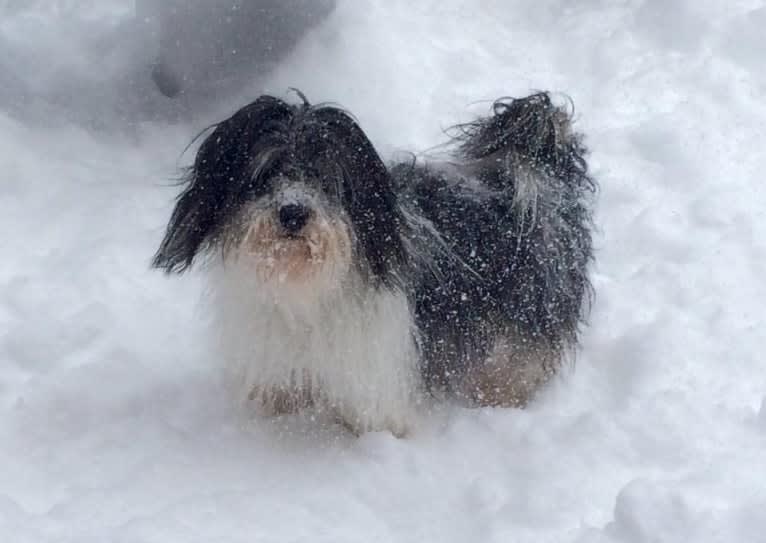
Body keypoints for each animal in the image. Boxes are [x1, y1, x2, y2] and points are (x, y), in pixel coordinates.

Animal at [153, 91, 596, 436]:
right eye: (264, 173)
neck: (306, 284)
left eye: (326, 177)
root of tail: (533, 166)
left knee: (521, 365)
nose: (293, 213)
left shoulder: (374, 374)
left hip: (529, 313)